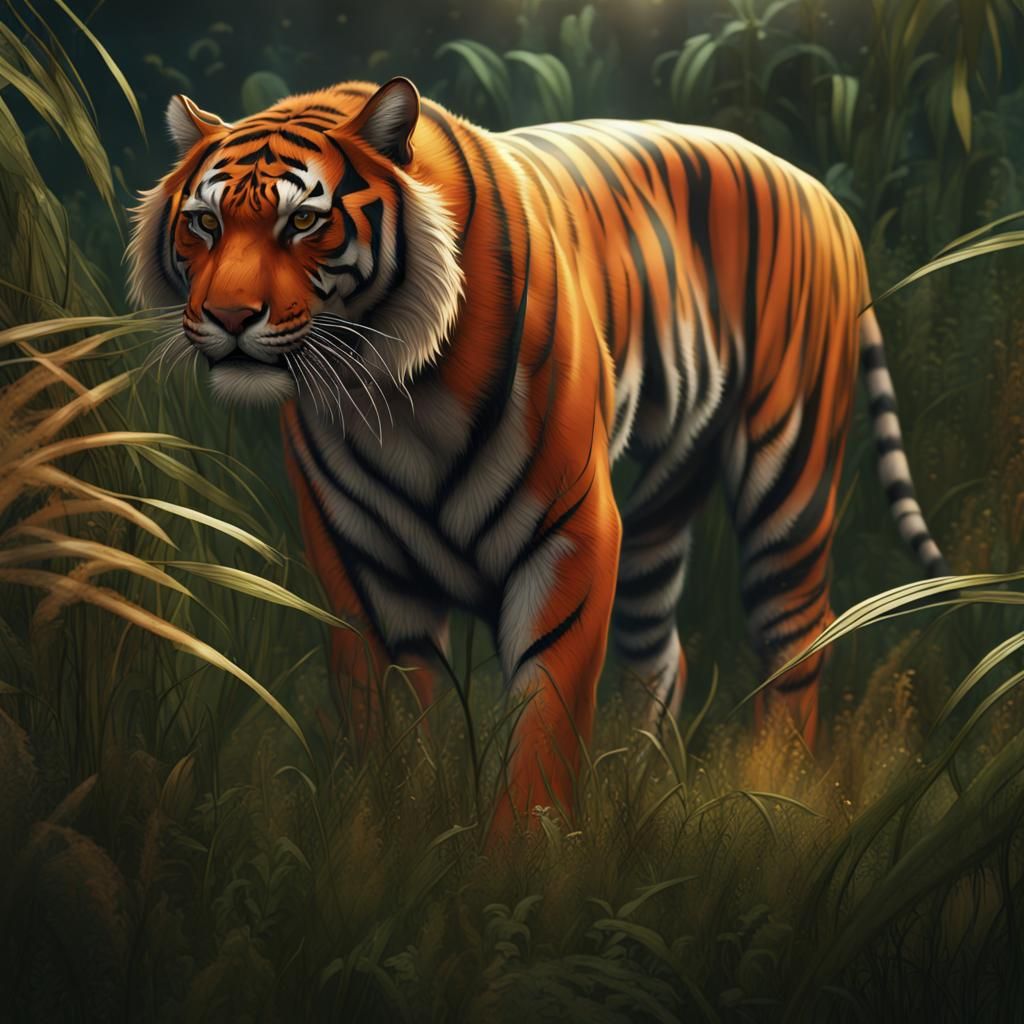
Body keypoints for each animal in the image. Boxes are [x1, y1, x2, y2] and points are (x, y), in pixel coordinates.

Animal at [127, 77, 949, 840]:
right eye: (204, 222)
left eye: (302, 220)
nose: (230, 318)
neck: (394, 392)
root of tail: (818, 189)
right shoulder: (356, 561)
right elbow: (390, 728)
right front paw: (393, 834)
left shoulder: (572, 532)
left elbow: (544, 721)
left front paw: (522, 862)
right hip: (661, 507)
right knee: (663, 651)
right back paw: (640, 784)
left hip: (789, 470)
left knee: (795, 635)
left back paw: (772, 785)